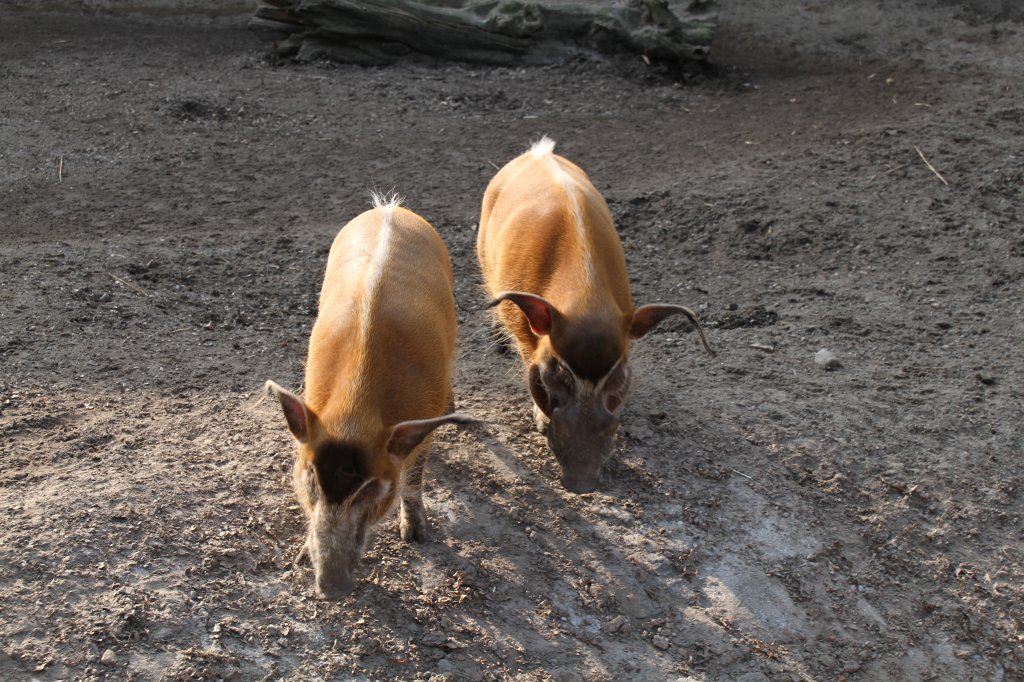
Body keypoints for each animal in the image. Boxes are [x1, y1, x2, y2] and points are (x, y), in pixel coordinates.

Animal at [264, 195, 471, 593]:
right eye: (310, 477)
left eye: (370, 487)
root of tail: (389, 207)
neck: (354, 414)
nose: (330, 588)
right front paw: (300, 558)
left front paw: (415, 536)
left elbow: (413, 479)